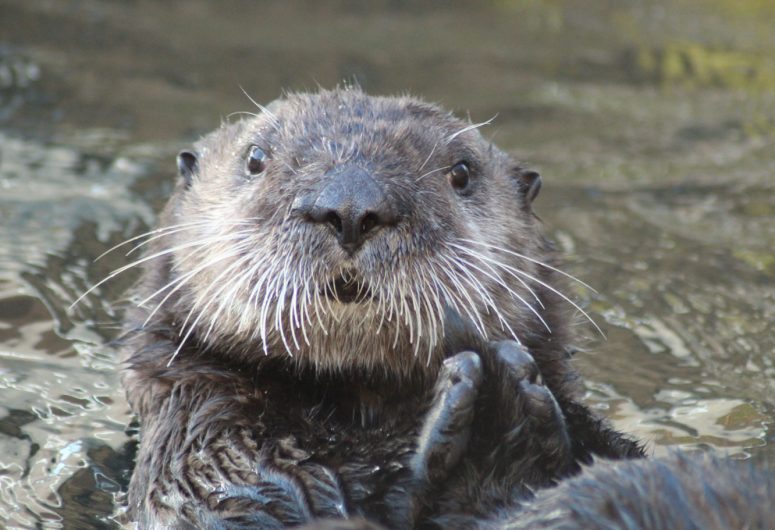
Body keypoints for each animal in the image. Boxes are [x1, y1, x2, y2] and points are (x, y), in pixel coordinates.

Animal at [112, 88, 640, 524]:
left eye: (462, 172)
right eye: (256, 158)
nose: (350, 205)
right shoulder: (202, 454)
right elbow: (251, 498)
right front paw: (493, 416)